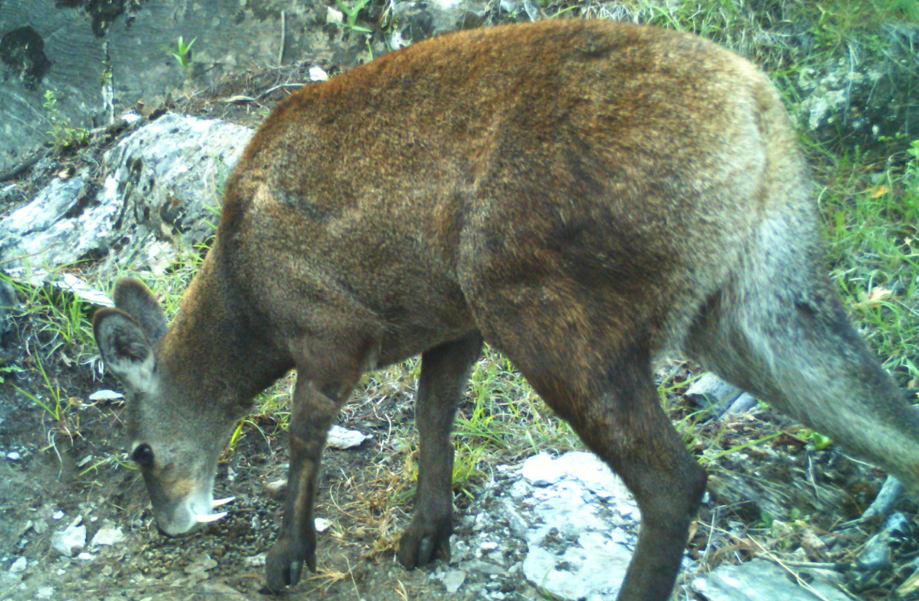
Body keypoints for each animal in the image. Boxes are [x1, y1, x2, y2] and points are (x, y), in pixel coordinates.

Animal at [91, 18, 919, 600]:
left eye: (140, 452)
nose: (168, 522)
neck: (247, 303)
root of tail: (760, 115)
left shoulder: (331, 328)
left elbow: (304, 435)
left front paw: (288, 558)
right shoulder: (449, 325)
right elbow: (433, 418)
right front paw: (427, 534)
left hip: (540, 303)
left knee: (675, 477)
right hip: (750, 304)